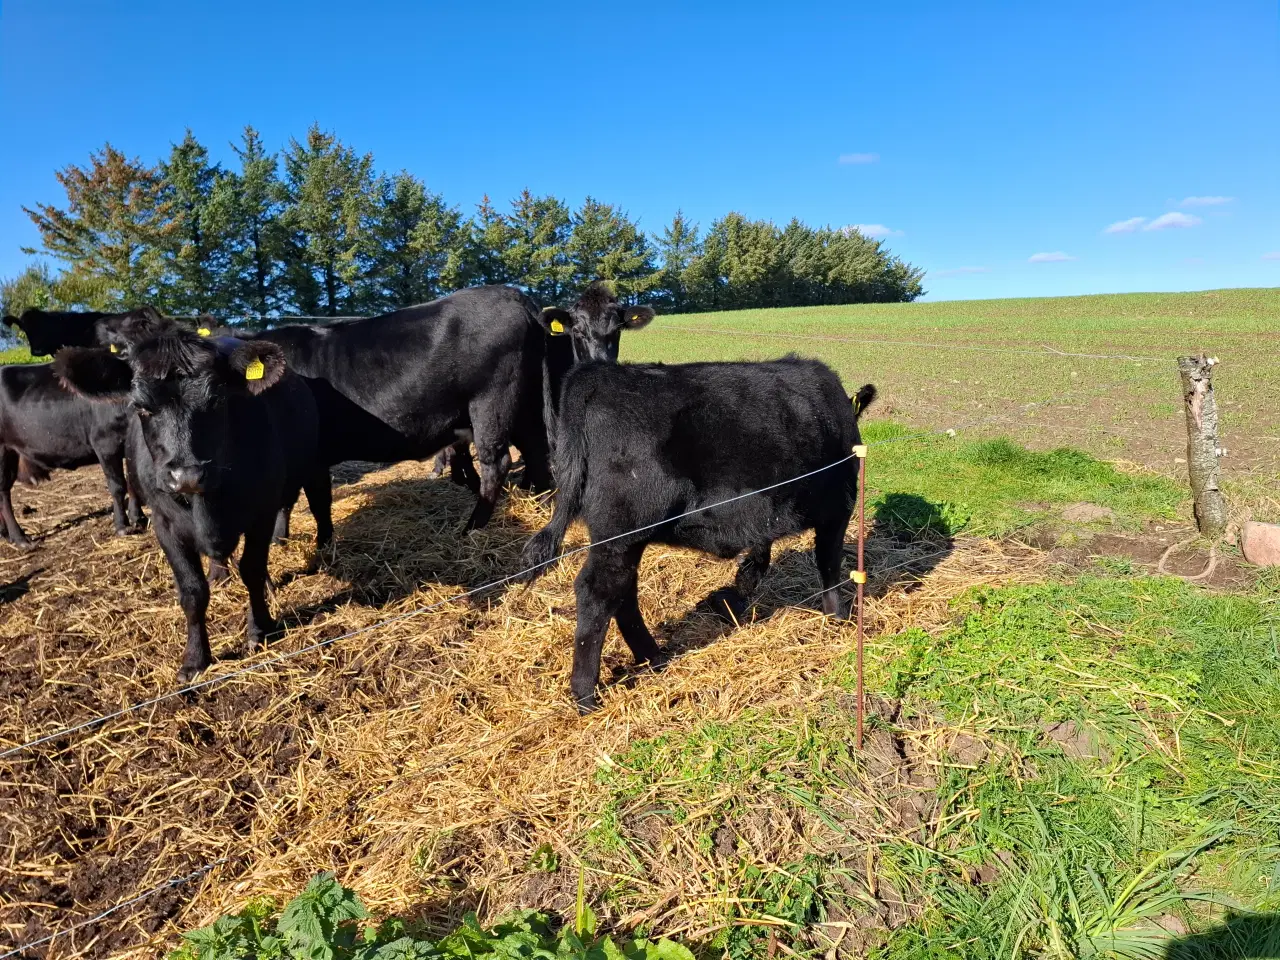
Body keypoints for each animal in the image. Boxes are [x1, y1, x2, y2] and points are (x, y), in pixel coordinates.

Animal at [0, 363, 142, 547]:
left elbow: (132, 480)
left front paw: (138, 517)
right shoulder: (106, 443)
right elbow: (118, 486)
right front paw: (122, 526)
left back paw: (5, 534)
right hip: (3, 452)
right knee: (3, 494)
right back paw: (20, 538)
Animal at [56, 335, 332, 680]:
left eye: (217, 400)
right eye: (141, 408)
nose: (187, 475)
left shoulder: (261, 512)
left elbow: (253, 570)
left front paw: (260, 628)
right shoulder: (165, 525)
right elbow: (192, 592)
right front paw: (196, 658)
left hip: (311, 466)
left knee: (312, 503)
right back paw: (218, 573)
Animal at [522, 355, 880, 716]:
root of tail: (601, 373)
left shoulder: (765, 512)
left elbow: (761, 552)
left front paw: (734, 594)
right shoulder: (838, 508)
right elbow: (829, 565)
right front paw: (839, 618)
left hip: (628, 539)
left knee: (622, 592)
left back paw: (653, 657)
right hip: (620, 532)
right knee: (598, 593)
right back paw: (586, 696)